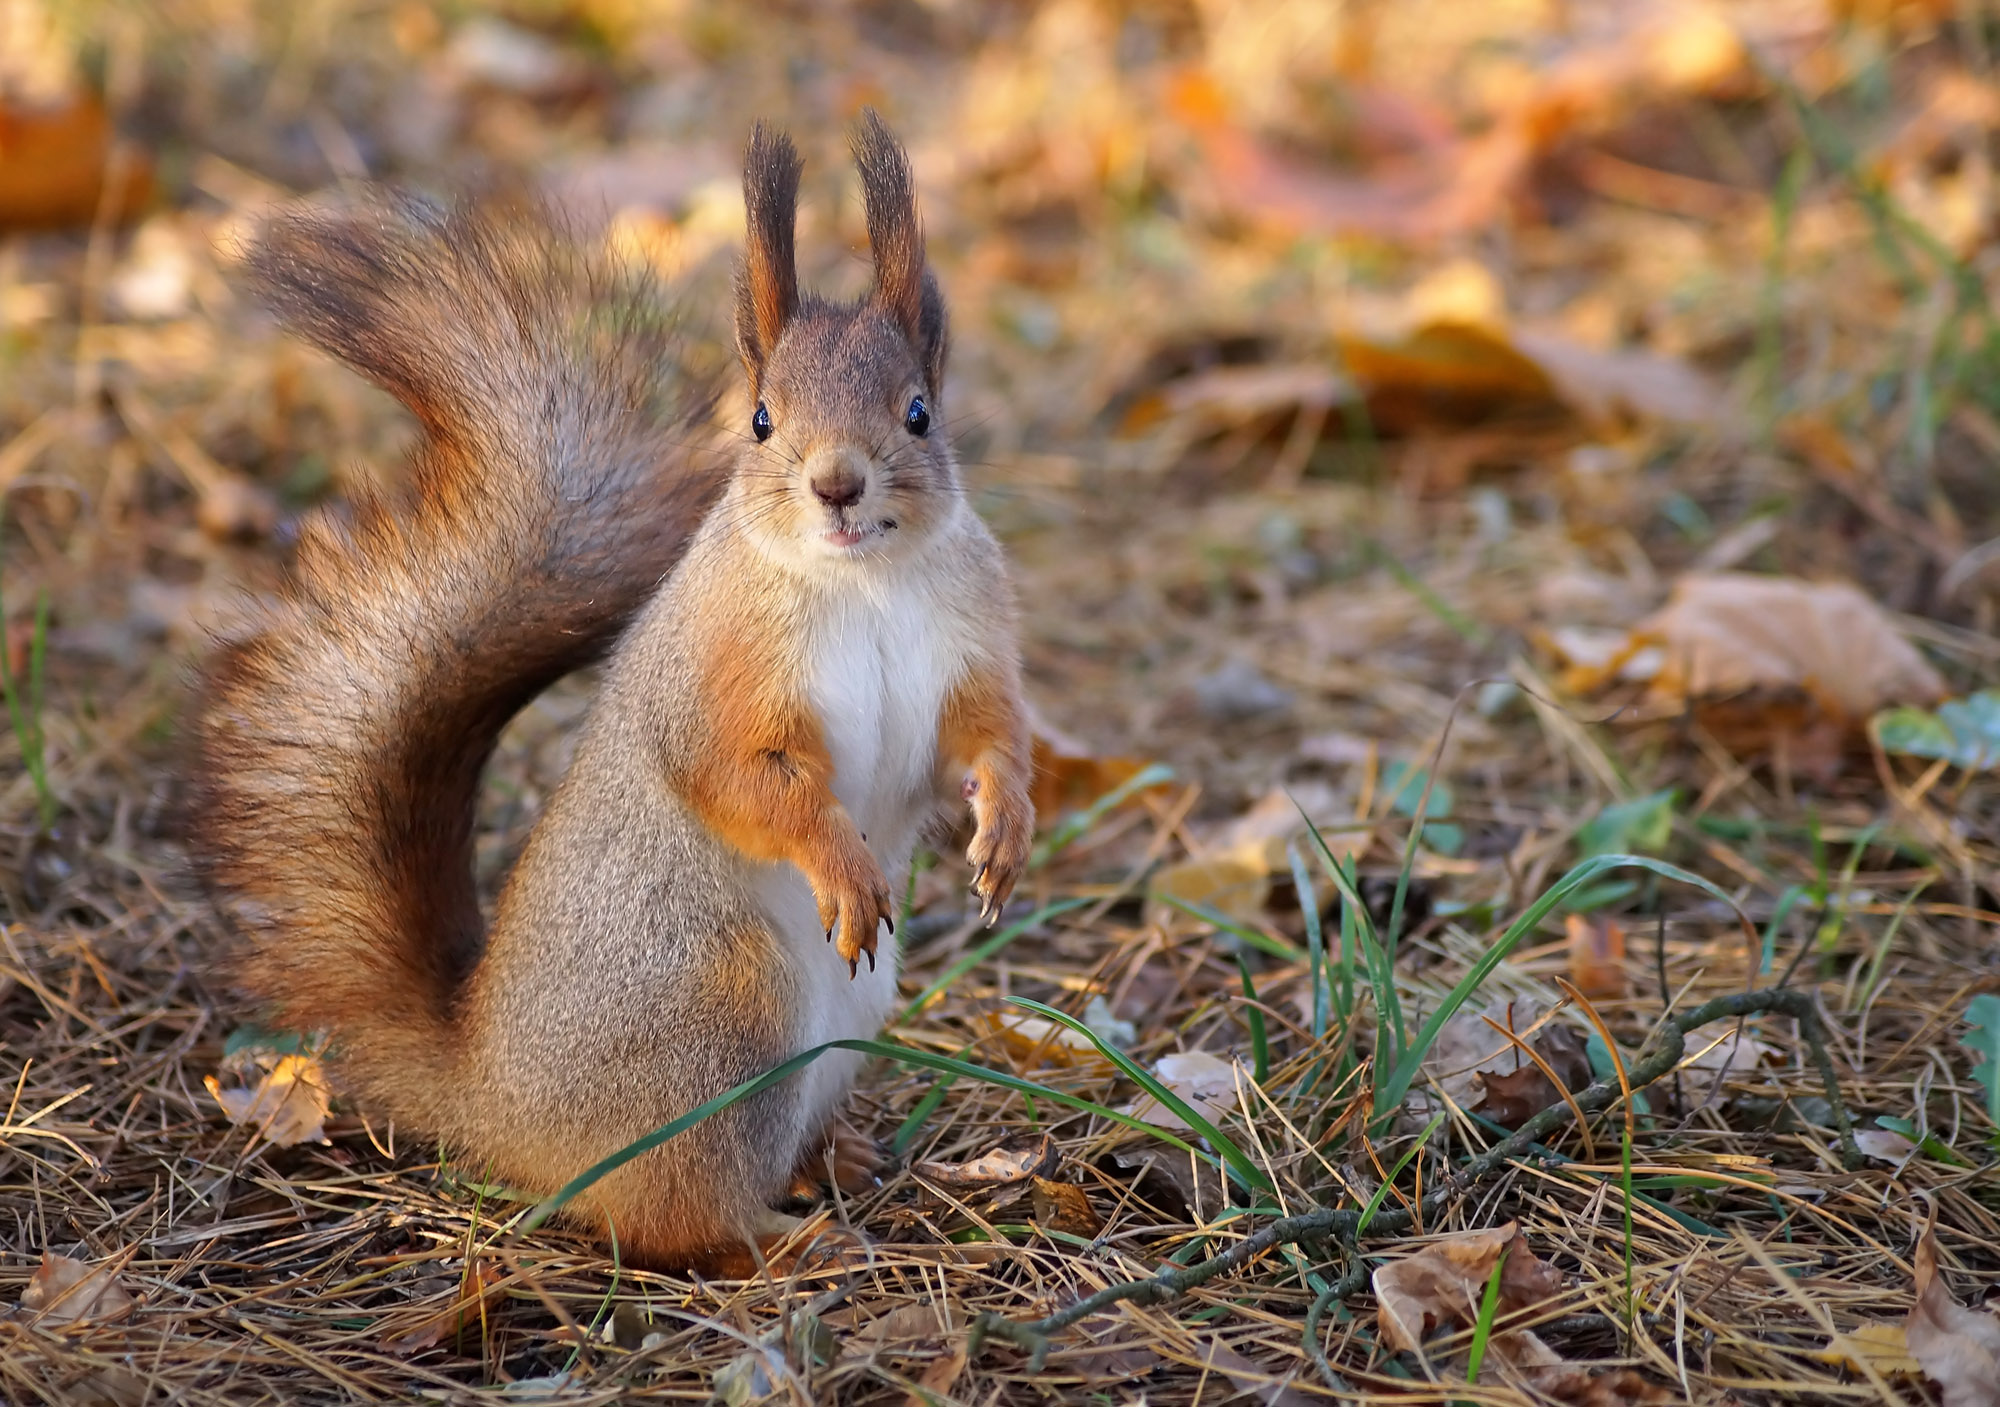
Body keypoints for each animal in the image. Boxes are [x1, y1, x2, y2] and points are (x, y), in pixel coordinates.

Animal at [186, 115, 1032, 1271]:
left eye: (917, 412)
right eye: (759, 420)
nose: (836, 484)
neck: (862, 580)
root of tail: (490, 1099)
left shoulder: (969, 645)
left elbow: (983, 743)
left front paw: (1005, 827)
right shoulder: (715, 672)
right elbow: (737, 777)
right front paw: (841, 862)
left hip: (848, 1011)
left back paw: (838, 1160)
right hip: (723, 1023)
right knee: (672, 1217)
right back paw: (782, 1242)